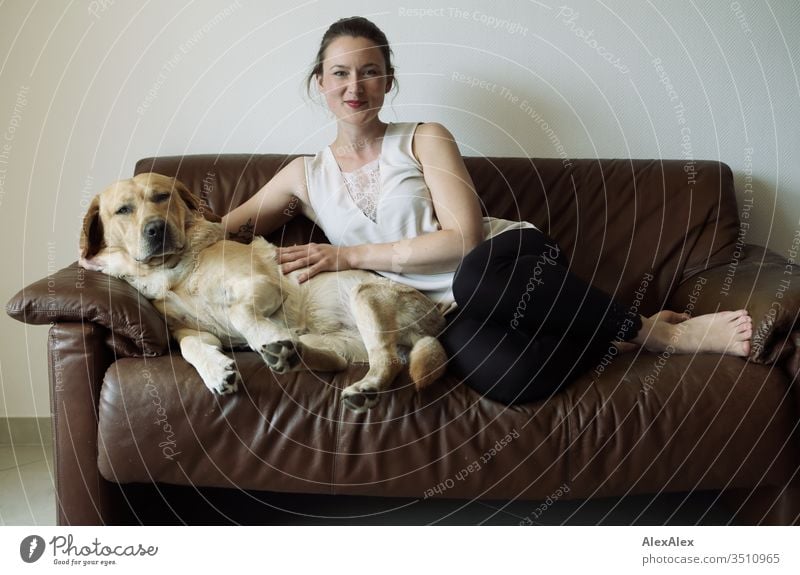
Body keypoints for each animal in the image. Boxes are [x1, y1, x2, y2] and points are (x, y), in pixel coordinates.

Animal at [80, 173, 450, 412]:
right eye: (124, 210)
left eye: (162, 196)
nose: (157, 229)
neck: (170, 269)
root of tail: (433, 325)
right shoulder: (191, 331)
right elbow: (189, 348)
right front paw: (216, 370)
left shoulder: (261, 285)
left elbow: (238, 312)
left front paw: (265, 336)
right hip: (336, 341)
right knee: (335, 361)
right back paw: (290, 355)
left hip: (365, 295)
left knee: (386, 360)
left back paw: (359, 385)